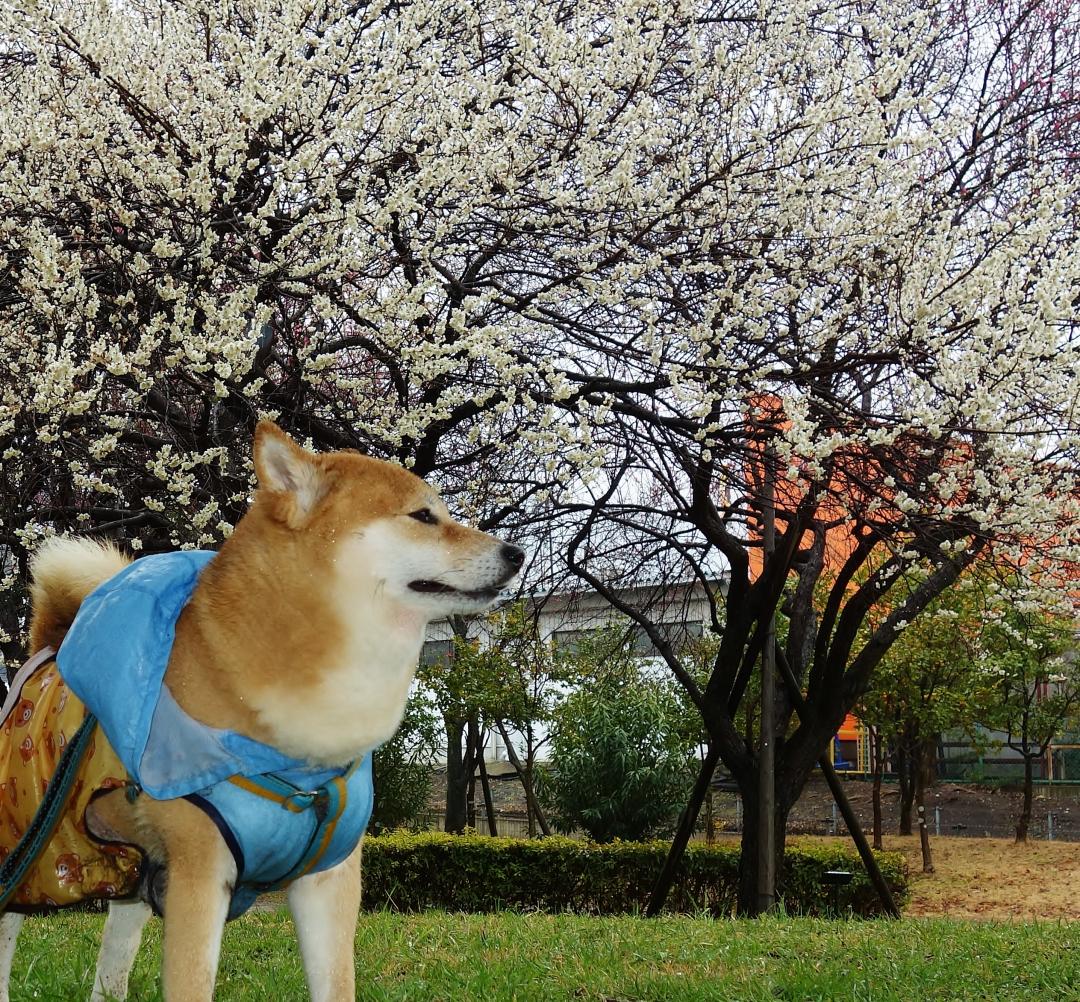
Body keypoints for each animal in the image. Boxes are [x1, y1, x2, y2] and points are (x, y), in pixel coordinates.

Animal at [0, 423, 522, 1002]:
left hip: (126, 869)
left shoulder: (329, 877)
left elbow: (336, 985)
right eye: (423, 516)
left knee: (111, 964)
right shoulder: (201, 874)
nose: (516, 553)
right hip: (26, 849)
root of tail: (46, 651)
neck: (303, 763)